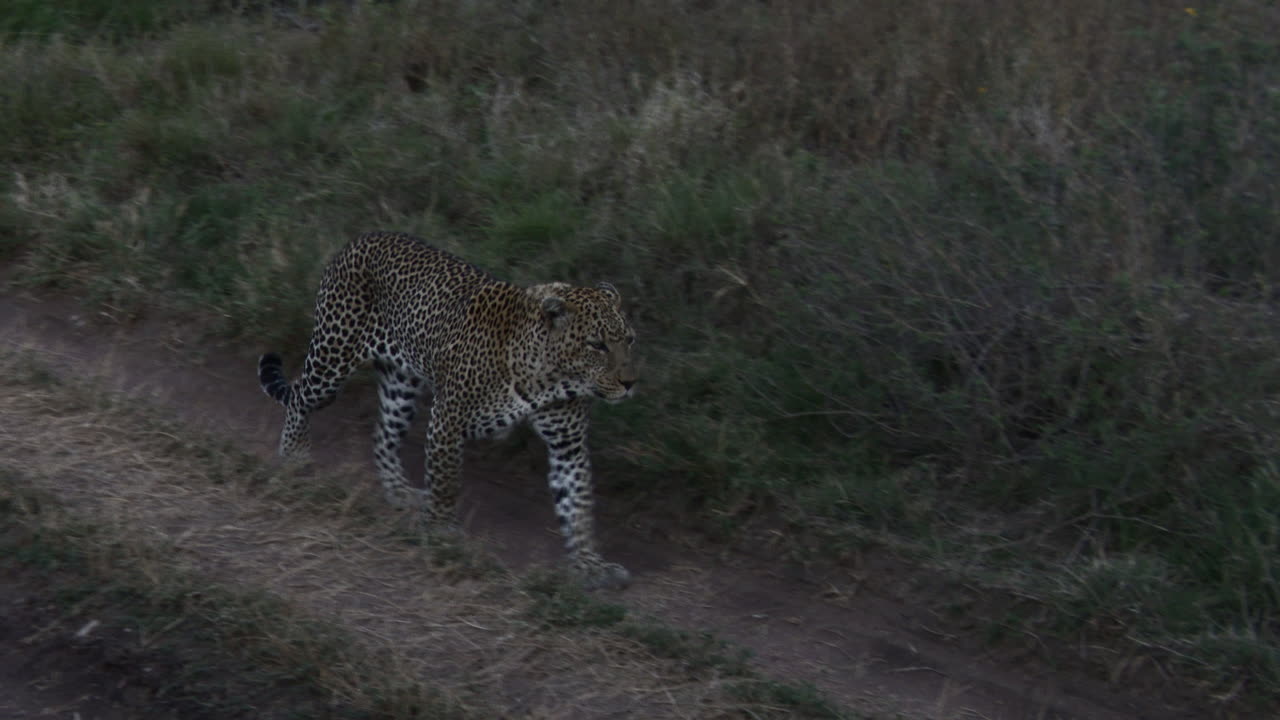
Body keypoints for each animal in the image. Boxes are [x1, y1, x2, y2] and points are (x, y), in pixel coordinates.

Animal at [257, 231, 637, 589]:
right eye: (597, 345)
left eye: (629, 339)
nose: (630, 382)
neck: (549, 377)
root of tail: (362, 238)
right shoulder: (448, 420)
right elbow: (446, 482)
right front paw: (439, 530)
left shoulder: (567, 444)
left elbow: (578, 504)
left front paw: (590, 565)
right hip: (333, 358)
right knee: (300, 397)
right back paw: (293, 455)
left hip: (401, 384)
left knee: (383, 435)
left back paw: (399, 491)